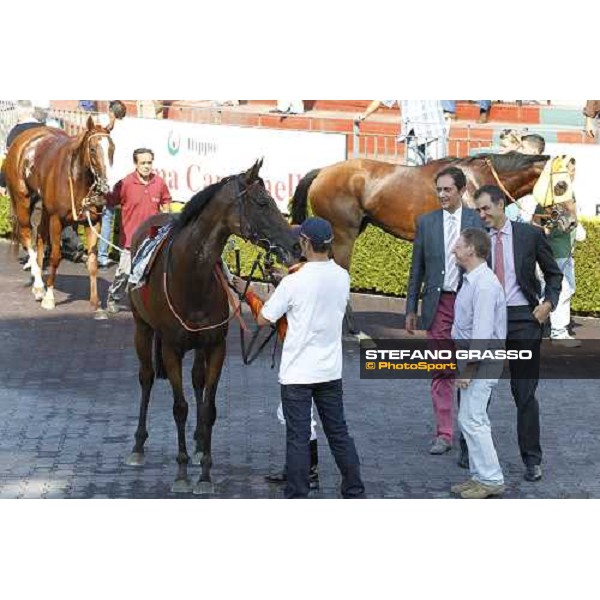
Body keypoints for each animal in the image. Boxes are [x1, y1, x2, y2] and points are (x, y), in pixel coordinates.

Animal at [4, 116, 116, 314]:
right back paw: (39, 285)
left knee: (40, 235)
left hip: (43, 206)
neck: (76, 179)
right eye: (92, 149)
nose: (106, 185)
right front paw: (49, 297)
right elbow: (56, 257)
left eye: (112, 148)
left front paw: (95, 302)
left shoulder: (93, 222)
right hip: (22, 199)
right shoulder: (57, 220)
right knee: (26, 235)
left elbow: (93, 261)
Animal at [125, 159, 300, 492]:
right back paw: (138, 446)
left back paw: (197, 443)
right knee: (146, 377)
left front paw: (205, 472)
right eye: (262, 203)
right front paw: (182, 474)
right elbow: (180, 408)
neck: (191, 275)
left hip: (199, 346)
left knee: (197, 380)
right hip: (141, 328)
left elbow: (209, 408)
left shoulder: (215, 345)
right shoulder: (171, 348)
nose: (296, 245)